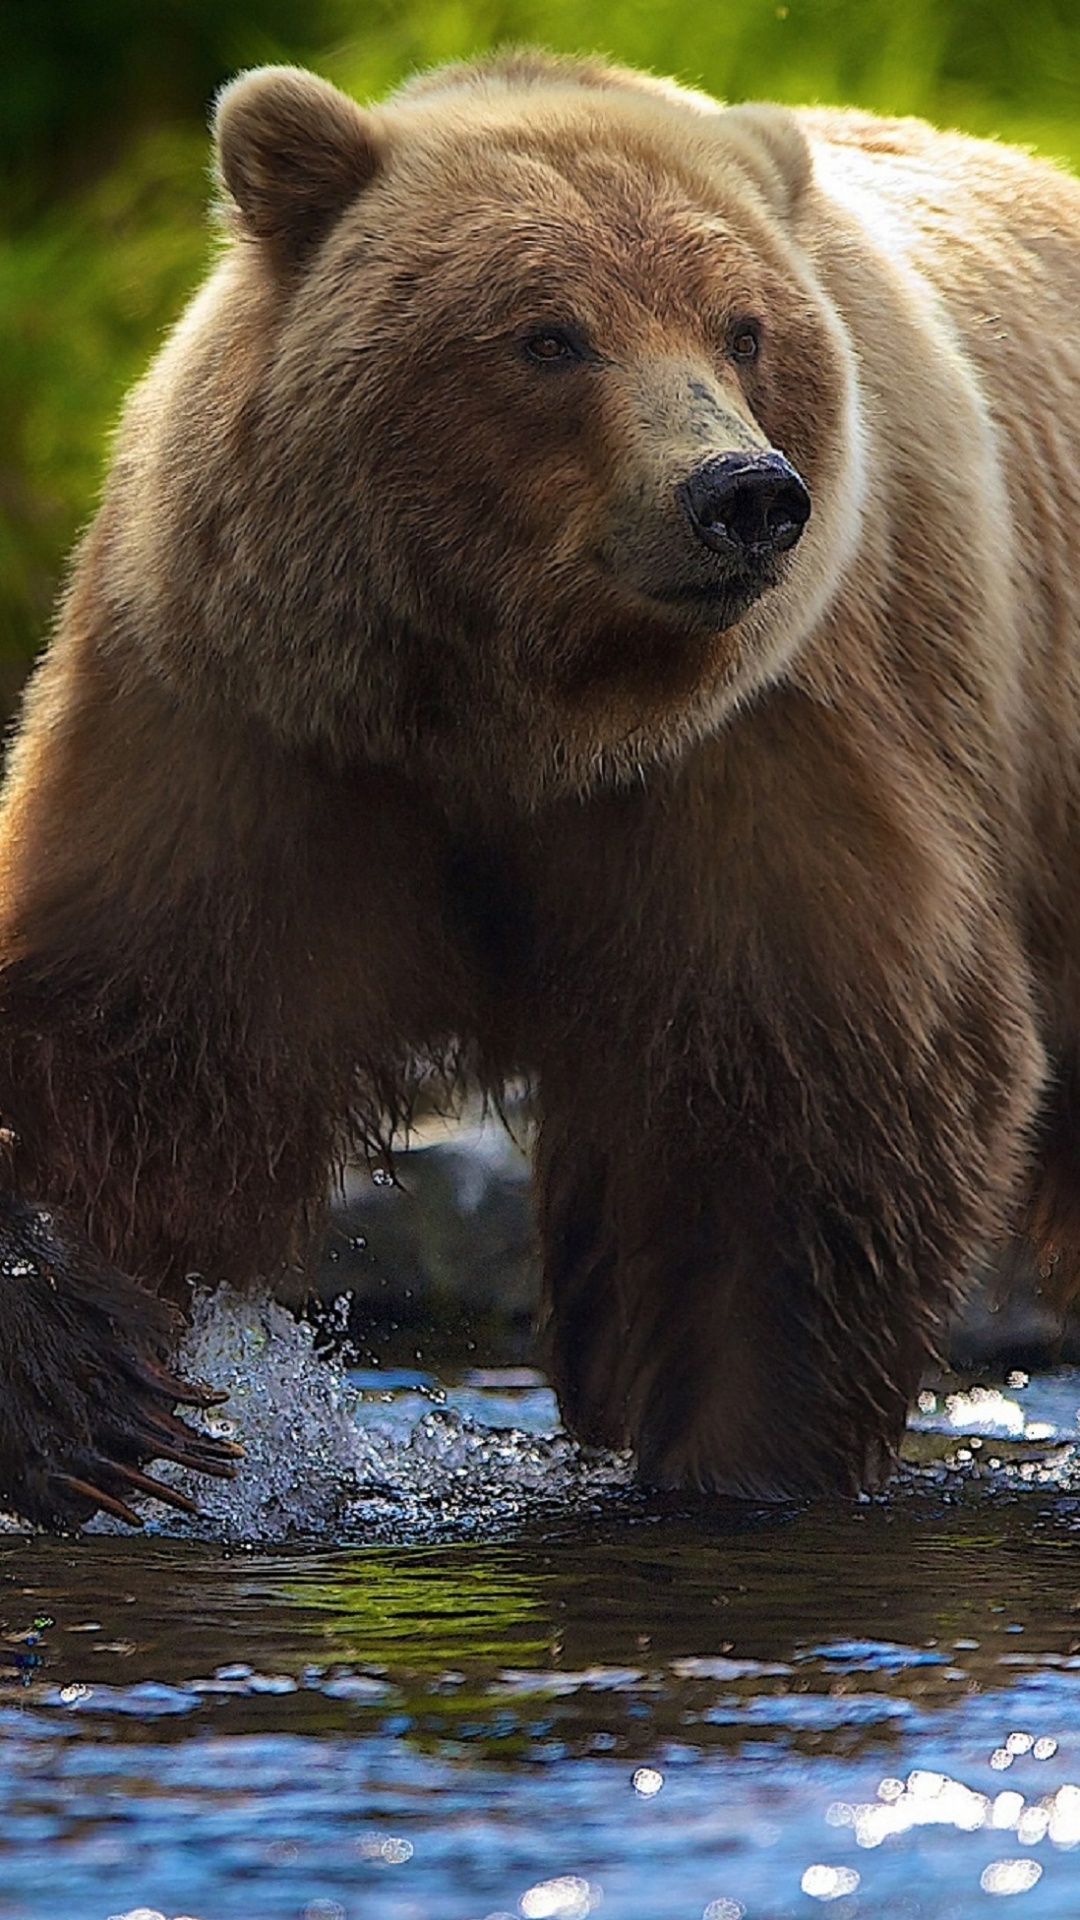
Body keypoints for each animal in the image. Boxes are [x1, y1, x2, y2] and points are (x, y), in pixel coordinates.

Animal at [1, 48, 1080, 1528]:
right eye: (548, 335)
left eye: (744, 329)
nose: (742, 494)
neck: (515, 712)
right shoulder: (259, 727)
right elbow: (135, 1038)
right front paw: (87, 1384)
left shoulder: (766, 750)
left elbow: (810, 1115)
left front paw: (732, 1466)